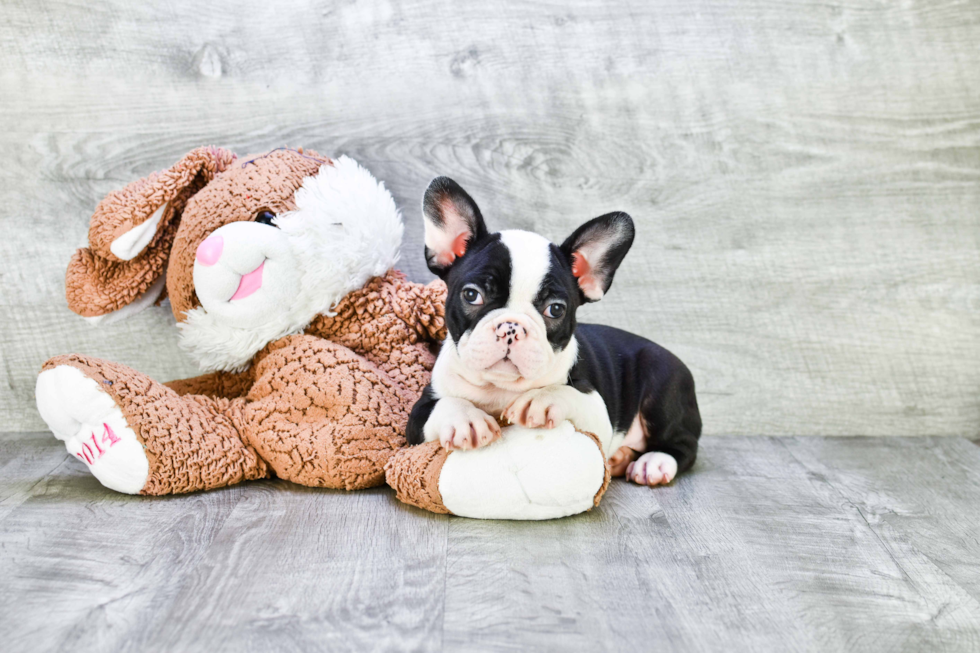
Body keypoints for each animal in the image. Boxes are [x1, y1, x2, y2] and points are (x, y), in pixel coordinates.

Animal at [406, 177, 704, 484]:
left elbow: (570, 395)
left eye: (556, 310)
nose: (511, 327)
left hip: (663, 383)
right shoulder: (418, 415)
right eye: (471, 295)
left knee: (684, 445)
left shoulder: (599, 415)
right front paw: (465, 418)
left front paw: (541, 399)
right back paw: (622, 458)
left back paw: (654, 462)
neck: (501, 388)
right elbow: (443, 406)